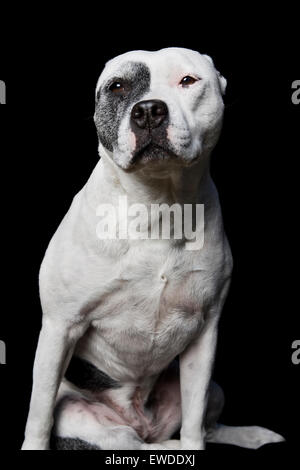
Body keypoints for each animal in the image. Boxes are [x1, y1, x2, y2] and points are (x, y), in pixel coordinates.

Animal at [22, 48, 284, 452]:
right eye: (117, 86)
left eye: (188, 80)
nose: (148, 110)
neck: (159, 205)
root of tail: (143, 424)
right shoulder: (59, 326)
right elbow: (39, 412)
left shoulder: (204, 333)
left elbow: (194, 421)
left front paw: (195, 444)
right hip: (92, 423)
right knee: (131, 443)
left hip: (213, 388)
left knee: (205, 426)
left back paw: (250, 436)